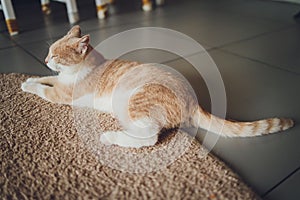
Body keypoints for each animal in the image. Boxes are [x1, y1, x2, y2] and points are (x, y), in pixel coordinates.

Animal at [21, 25, 292, 148]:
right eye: (48, 52)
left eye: (56, 55)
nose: (45, 59)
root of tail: (194, 100)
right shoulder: (61, 82)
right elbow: (44, 79)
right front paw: (28, 80)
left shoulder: (61, 93)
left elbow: (44, 89)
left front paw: (29, 86)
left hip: (135, 103)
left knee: (149, 138)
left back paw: (109, 137)